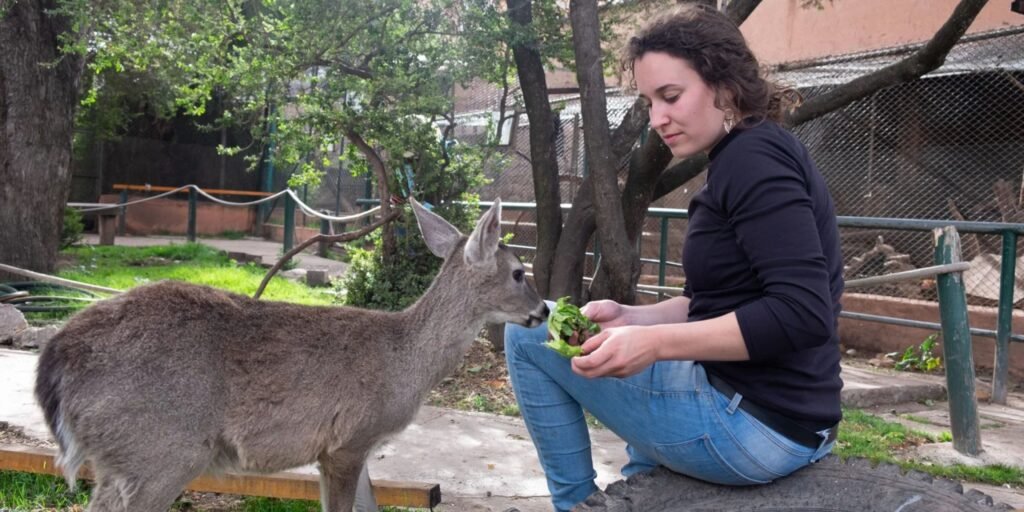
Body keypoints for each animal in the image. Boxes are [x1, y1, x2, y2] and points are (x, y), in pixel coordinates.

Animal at [32, 197, 548, 509]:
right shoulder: (348, 440)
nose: (543, 310)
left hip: (120, 457)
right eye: (520, 272)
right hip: (158, 450)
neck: (406, 363)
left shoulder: (355, 447)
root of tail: (54, 359)